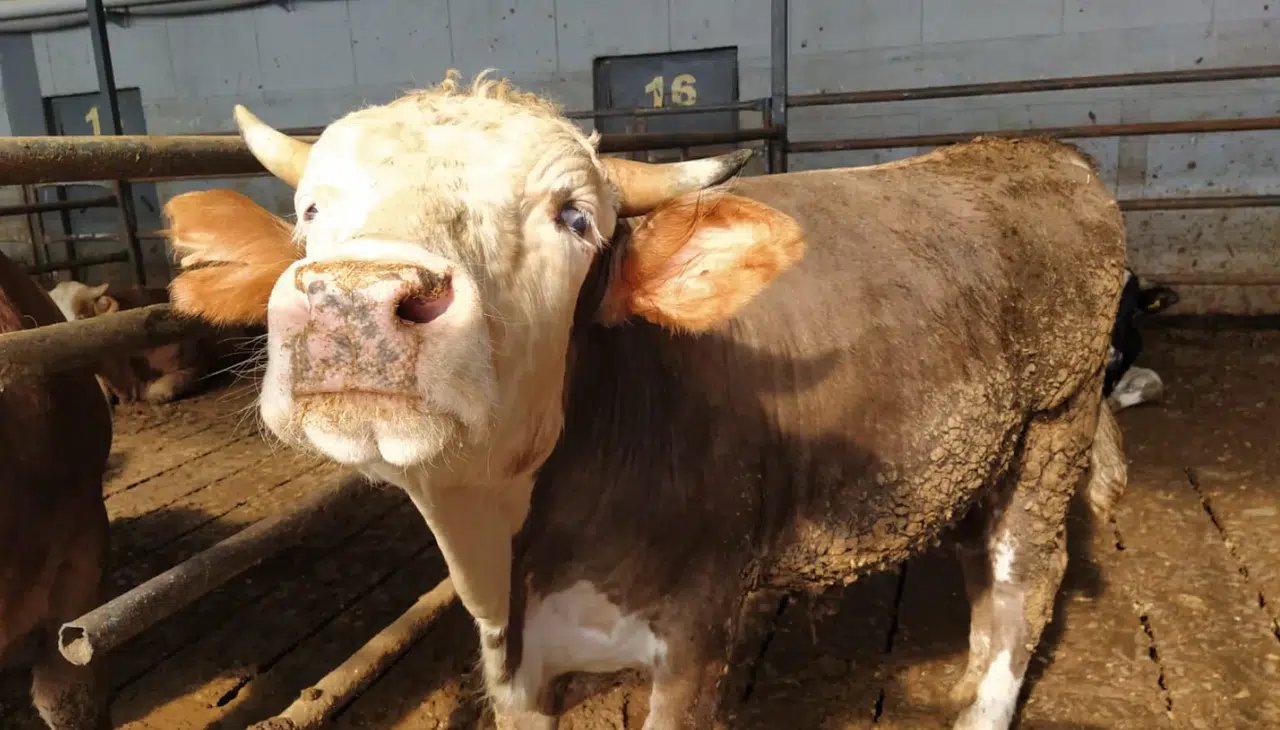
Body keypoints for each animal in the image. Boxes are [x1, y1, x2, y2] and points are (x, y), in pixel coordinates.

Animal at [161, 71, 1129, 730]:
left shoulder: (699, 633)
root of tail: (1036, 152)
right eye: (310, 210)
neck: (508, 556)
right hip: (979, 453)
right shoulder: (515, 668)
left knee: (1026, 578)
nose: (356, 298)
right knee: (980, 564)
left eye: (575, 217)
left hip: (1056, 422)